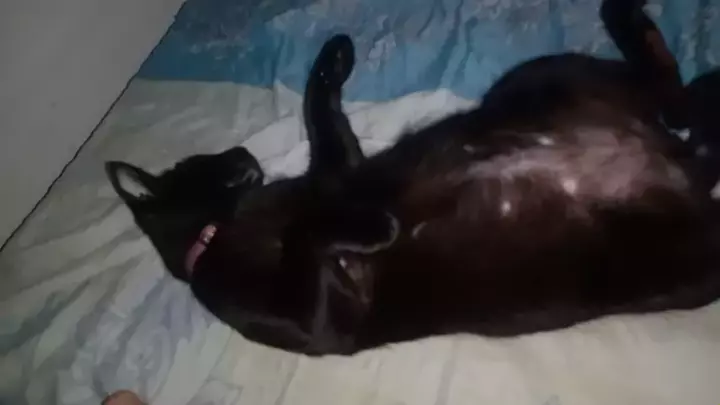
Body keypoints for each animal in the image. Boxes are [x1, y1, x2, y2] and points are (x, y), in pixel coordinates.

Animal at [109, 0, 720, 356]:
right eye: (208, 162)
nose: (242, 153)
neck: (222, 231)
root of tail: (669, 154)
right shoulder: (325, 315)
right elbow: (312, 229)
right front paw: (376, 227)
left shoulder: (337, 171)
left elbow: (320, 114)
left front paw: (332, 59)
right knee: (679, 98)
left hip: (539, 78)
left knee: (675, 91)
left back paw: (626, 17)